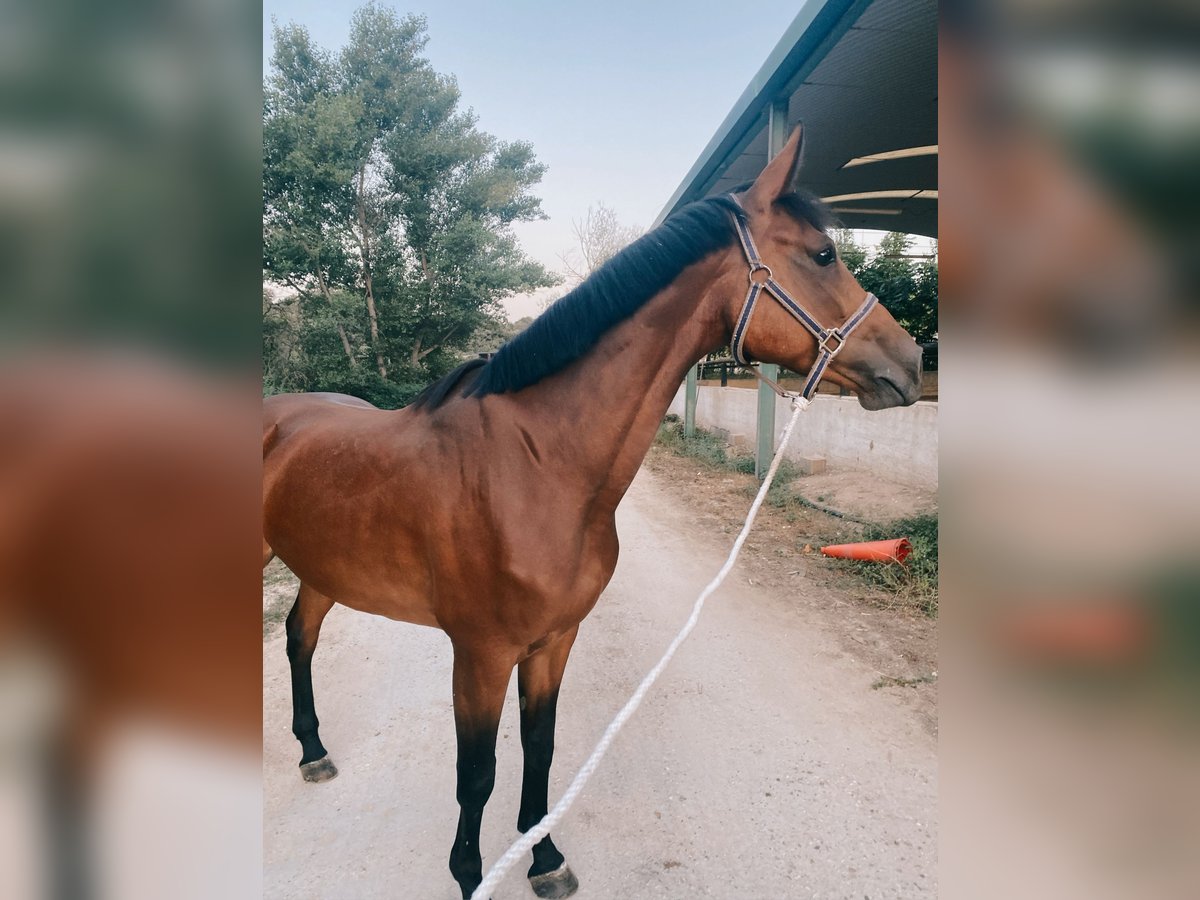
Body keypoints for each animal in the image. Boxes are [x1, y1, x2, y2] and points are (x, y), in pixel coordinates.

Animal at [260, 128, 916, 900]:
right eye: (822, 254)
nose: (911, 359)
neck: (538, 466)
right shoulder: (480, 654)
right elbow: (476, 775)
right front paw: (470, 876)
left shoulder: (555, 640)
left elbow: (540, 749)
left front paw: (543, 858)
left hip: (320, 569)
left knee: (299, 638)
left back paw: (313, 750)